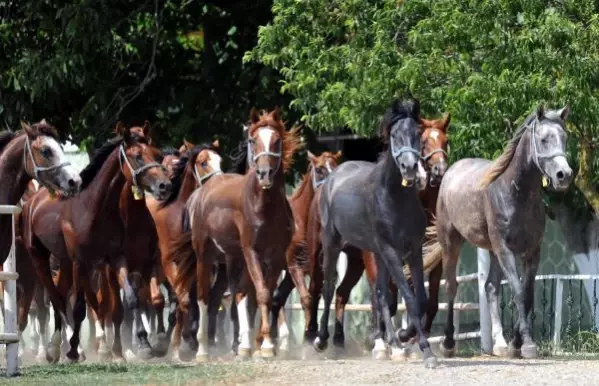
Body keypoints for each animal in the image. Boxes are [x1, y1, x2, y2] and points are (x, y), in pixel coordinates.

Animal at [21, 123, 171, 362]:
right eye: (137, 156)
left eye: (157, 154)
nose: (164, 186)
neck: (95, 208)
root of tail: (33, 201)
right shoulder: (82, 262)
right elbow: (81, 307)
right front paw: (74, 349)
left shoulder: (115, 258)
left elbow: (129, 299)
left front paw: (142, 345)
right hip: (40, 258)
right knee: (55, 298)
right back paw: (56, 349)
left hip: (65, 262)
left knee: (63, 296)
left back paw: (58, 347)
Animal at [146, 139, 224, 362]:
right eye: (203, 162)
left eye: (220, 161)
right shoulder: (170, 263)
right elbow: (184, 301)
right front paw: (175, 346)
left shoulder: (195, 264)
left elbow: (189, 302)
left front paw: (186, 344)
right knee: (158, 300)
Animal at [169, 108, 302, 362]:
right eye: (253, 140)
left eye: (277, 140)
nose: (264, 174)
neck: (264, 206)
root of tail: (202, 192)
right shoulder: (251, 252)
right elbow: (261, 294)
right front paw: (266, 346)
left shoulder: (276, 256)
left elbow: (262, 296)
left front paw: (259, 345)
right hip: (205, 256)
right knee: (204, 297)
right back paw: (202, 350)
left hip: (231, 259)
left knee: (235, 297)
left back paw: (242, 346)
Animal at [314, 98, 436, 366]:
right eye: (393, 135)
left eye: (417, 133)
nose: (410, 167)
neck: (393, 196)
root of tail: (334, 176)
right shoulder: (391, 251)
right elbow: (408, 297)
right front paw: (426, 349)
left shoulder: (413, 250)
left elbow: (419, 298)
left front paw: (404, 336)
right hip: (333, 243)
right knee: (328, 287)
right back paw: (321, 340)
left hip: (375, 252)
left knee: (379, 294)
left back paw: (391, 343)